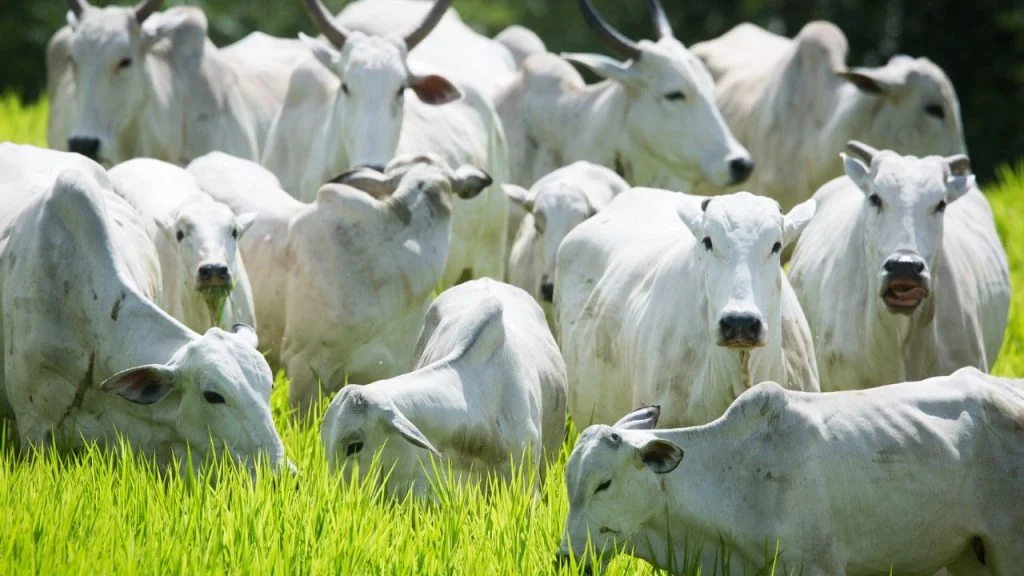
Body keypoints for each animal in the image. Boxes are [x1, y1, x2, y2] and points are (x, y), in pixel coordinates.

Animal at [558, 369, 1024, 575]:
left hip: (1008, 550)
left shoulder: (819, 566)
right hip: (969, 554)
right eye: (569, 485)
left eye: (603, 484)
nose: (564, 556)